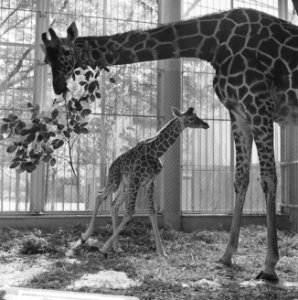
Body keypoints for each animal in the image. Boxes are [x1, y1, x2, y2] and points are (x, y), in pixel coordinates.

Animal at [79, 106, 210, 256]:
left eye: (196, 115)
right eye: (191, 118)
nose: (206, 124)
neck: (156, 152)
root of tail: (112, 164)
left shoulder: (148, 183)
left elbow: (151, 212)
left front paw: (162, 252)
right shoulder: (136, 179)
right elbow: (130, 212)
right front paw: (104, 247)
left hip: (126, 186)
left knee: (113, 204)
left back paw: (116, 247)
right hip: (115, 181)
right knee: (100, 195)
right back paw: (85, 236)